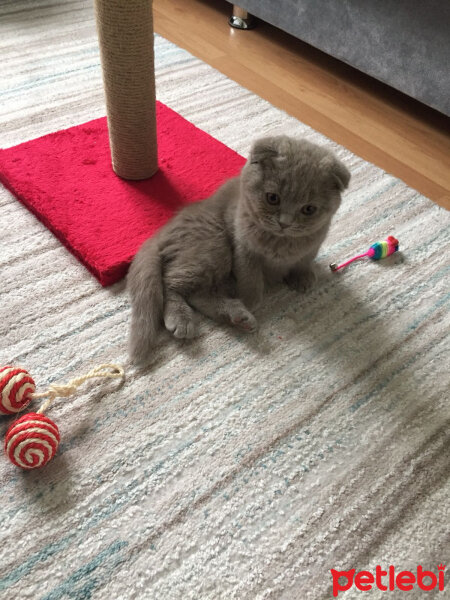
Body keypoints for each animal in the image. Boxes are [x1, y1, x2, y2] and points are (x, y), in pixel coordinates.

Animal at [128, 136, 350, 360]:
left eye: (309, 209)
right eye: (272, 198)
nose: (284, 223)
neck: (281, 242)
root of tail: (162, 230)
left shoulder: (314, 242)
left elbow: (304, 260)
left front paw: (302, 277)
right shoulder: (243, 246)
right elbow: (250, 277)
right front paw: (251, 300)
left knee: (197, 294)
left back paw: (238, 317)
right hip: (214, 246)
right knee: (170, 282)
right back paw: (183, 319)